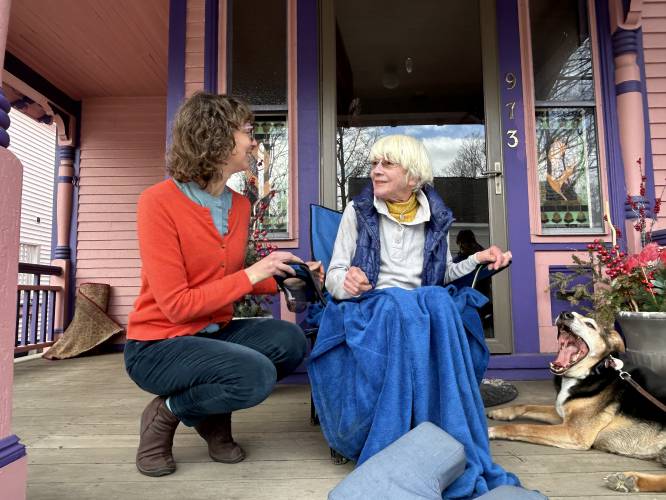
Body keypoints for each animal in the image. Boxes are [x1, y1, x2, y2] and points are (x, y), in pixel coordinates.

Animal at [486, 310, 660, 494]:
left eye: (590, 324)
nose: (565, 314)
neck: (591, 371)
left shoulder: (573, 432)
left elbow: (522, 427)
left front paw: (492, 430)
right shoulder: (562, 413)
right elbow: (526, 406)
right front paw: (501, 412)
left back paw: (629, 480)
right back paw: (629, 481)